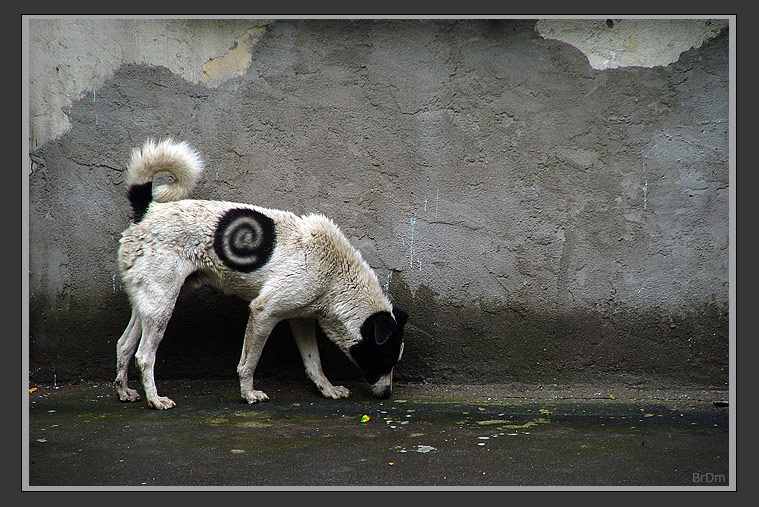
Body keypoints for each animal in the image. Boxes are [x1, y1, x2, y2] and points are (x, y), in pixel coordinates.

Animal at [113, 139, 406, 408]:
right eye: (385, 358)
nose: (387, 394)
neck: (335, 275)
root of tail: (147, 209)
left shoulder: (301, 319)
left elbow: (314, 362)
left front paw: (328, 390)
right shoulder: (263, 313)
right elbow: (249, 362)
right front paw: (248, 394)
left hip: (149, 304)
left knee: (124, 345)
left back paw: (124, 392)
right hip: (162, 305)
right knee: (144, 356)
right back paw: (155, 400)